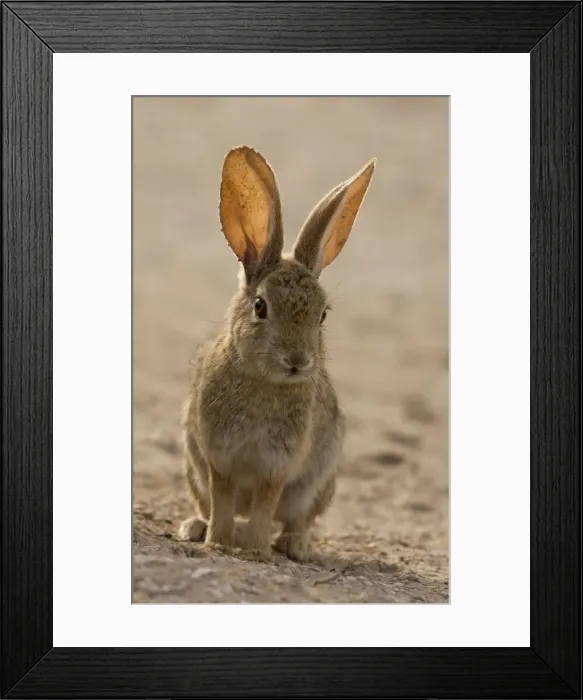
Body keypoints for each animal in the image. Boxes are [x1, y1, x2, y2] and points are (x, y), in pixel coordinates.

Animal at [178, 146, 376, 561]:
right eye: (260, 307)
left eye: (322, 315)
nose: (297, 362)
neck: (263, 382)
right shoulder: (219, 456)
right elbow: (223, 498)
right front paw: (219, 542)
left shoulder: (278, 463)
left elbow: (265, 504)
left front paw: (254, 550)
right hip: (192, 469)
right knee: (208, 504)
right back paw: (196, 528)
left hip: (315, 485)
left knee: (296, 518)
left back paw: (295, 545)